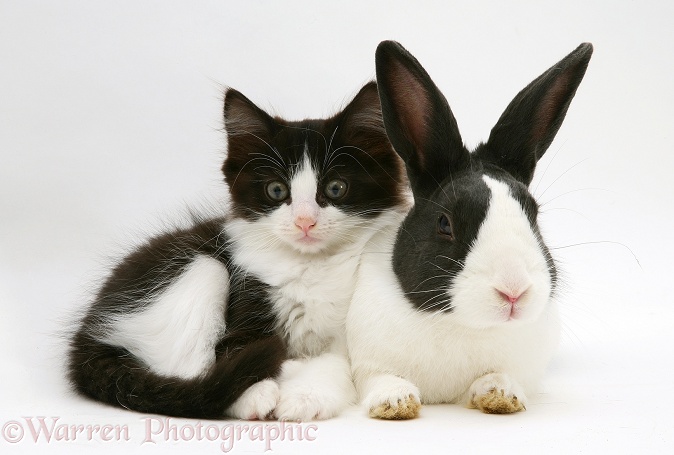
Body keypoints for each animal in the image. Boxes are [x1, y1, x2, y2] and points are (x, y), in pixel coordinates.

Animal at [68, 81, 406, 420]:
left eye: (336, 188)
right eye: (276, 190)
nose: (304, 221)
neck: (310, 265)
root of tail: (85, 334)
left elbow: (338, 363)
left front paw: (304, 396)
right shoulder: (248, 287)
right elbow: (234, 350)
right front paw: (255, 393)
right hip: (200, 267)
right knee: (193, 371)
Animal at [346, 41, 588, 418]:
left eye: (533, 215)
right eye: (445, 223)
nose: (514, 291)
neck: (464, 325)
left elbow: (499, 376)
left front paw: (501, 395)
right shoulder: (366, 361)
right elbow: (380, 377)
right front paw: (395, 402)